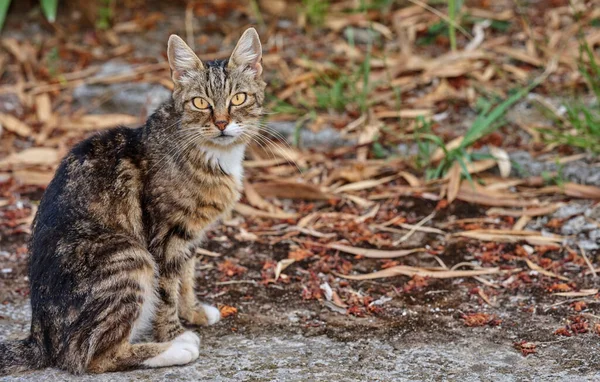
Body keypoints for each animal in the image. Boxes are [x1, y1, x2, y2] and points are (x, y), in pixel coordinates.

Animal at [0, 28, 264, 374]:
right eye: (200, 103)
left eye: (239, 98)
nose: (221, 123)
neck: (210, 154)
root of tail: (40, 337)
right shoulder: (165, 237)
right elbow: (167, 290)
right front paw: (175, 332)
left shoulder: (189, 234)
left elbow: (187, 276)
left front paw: (193, 311)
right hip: (129, 257)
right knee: (92, 357)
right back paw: (176, 349)